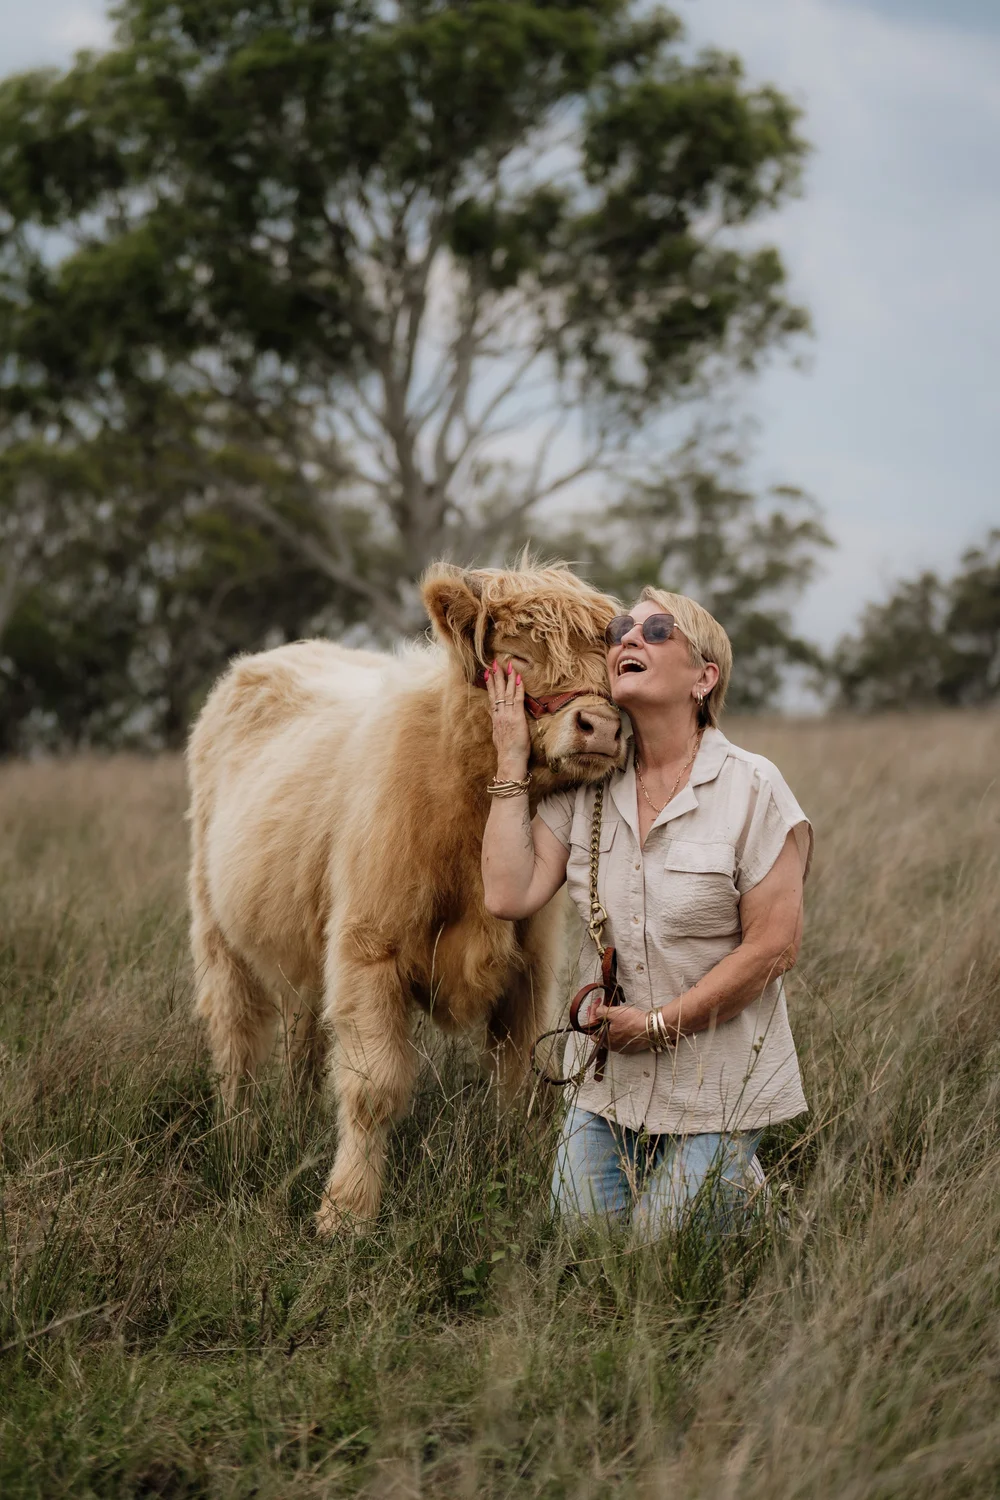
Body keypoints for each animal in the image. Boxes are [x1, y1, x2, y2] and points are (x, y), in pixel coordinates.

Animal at [187, 562, 626, 1234]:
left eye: (615, 664)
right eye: (518, 656)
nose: (600, 726)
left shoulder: (530, 964)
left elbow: (520, 1078)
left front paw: (524, 1181)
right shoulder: (369, 949)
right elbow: (374, 1088)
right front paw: (346, 1214)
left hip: (303, 953)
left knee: (301, 1041)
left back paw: (294, 1126)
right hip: (216, 932)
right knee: (236, 1041)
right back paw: (239, 1143)